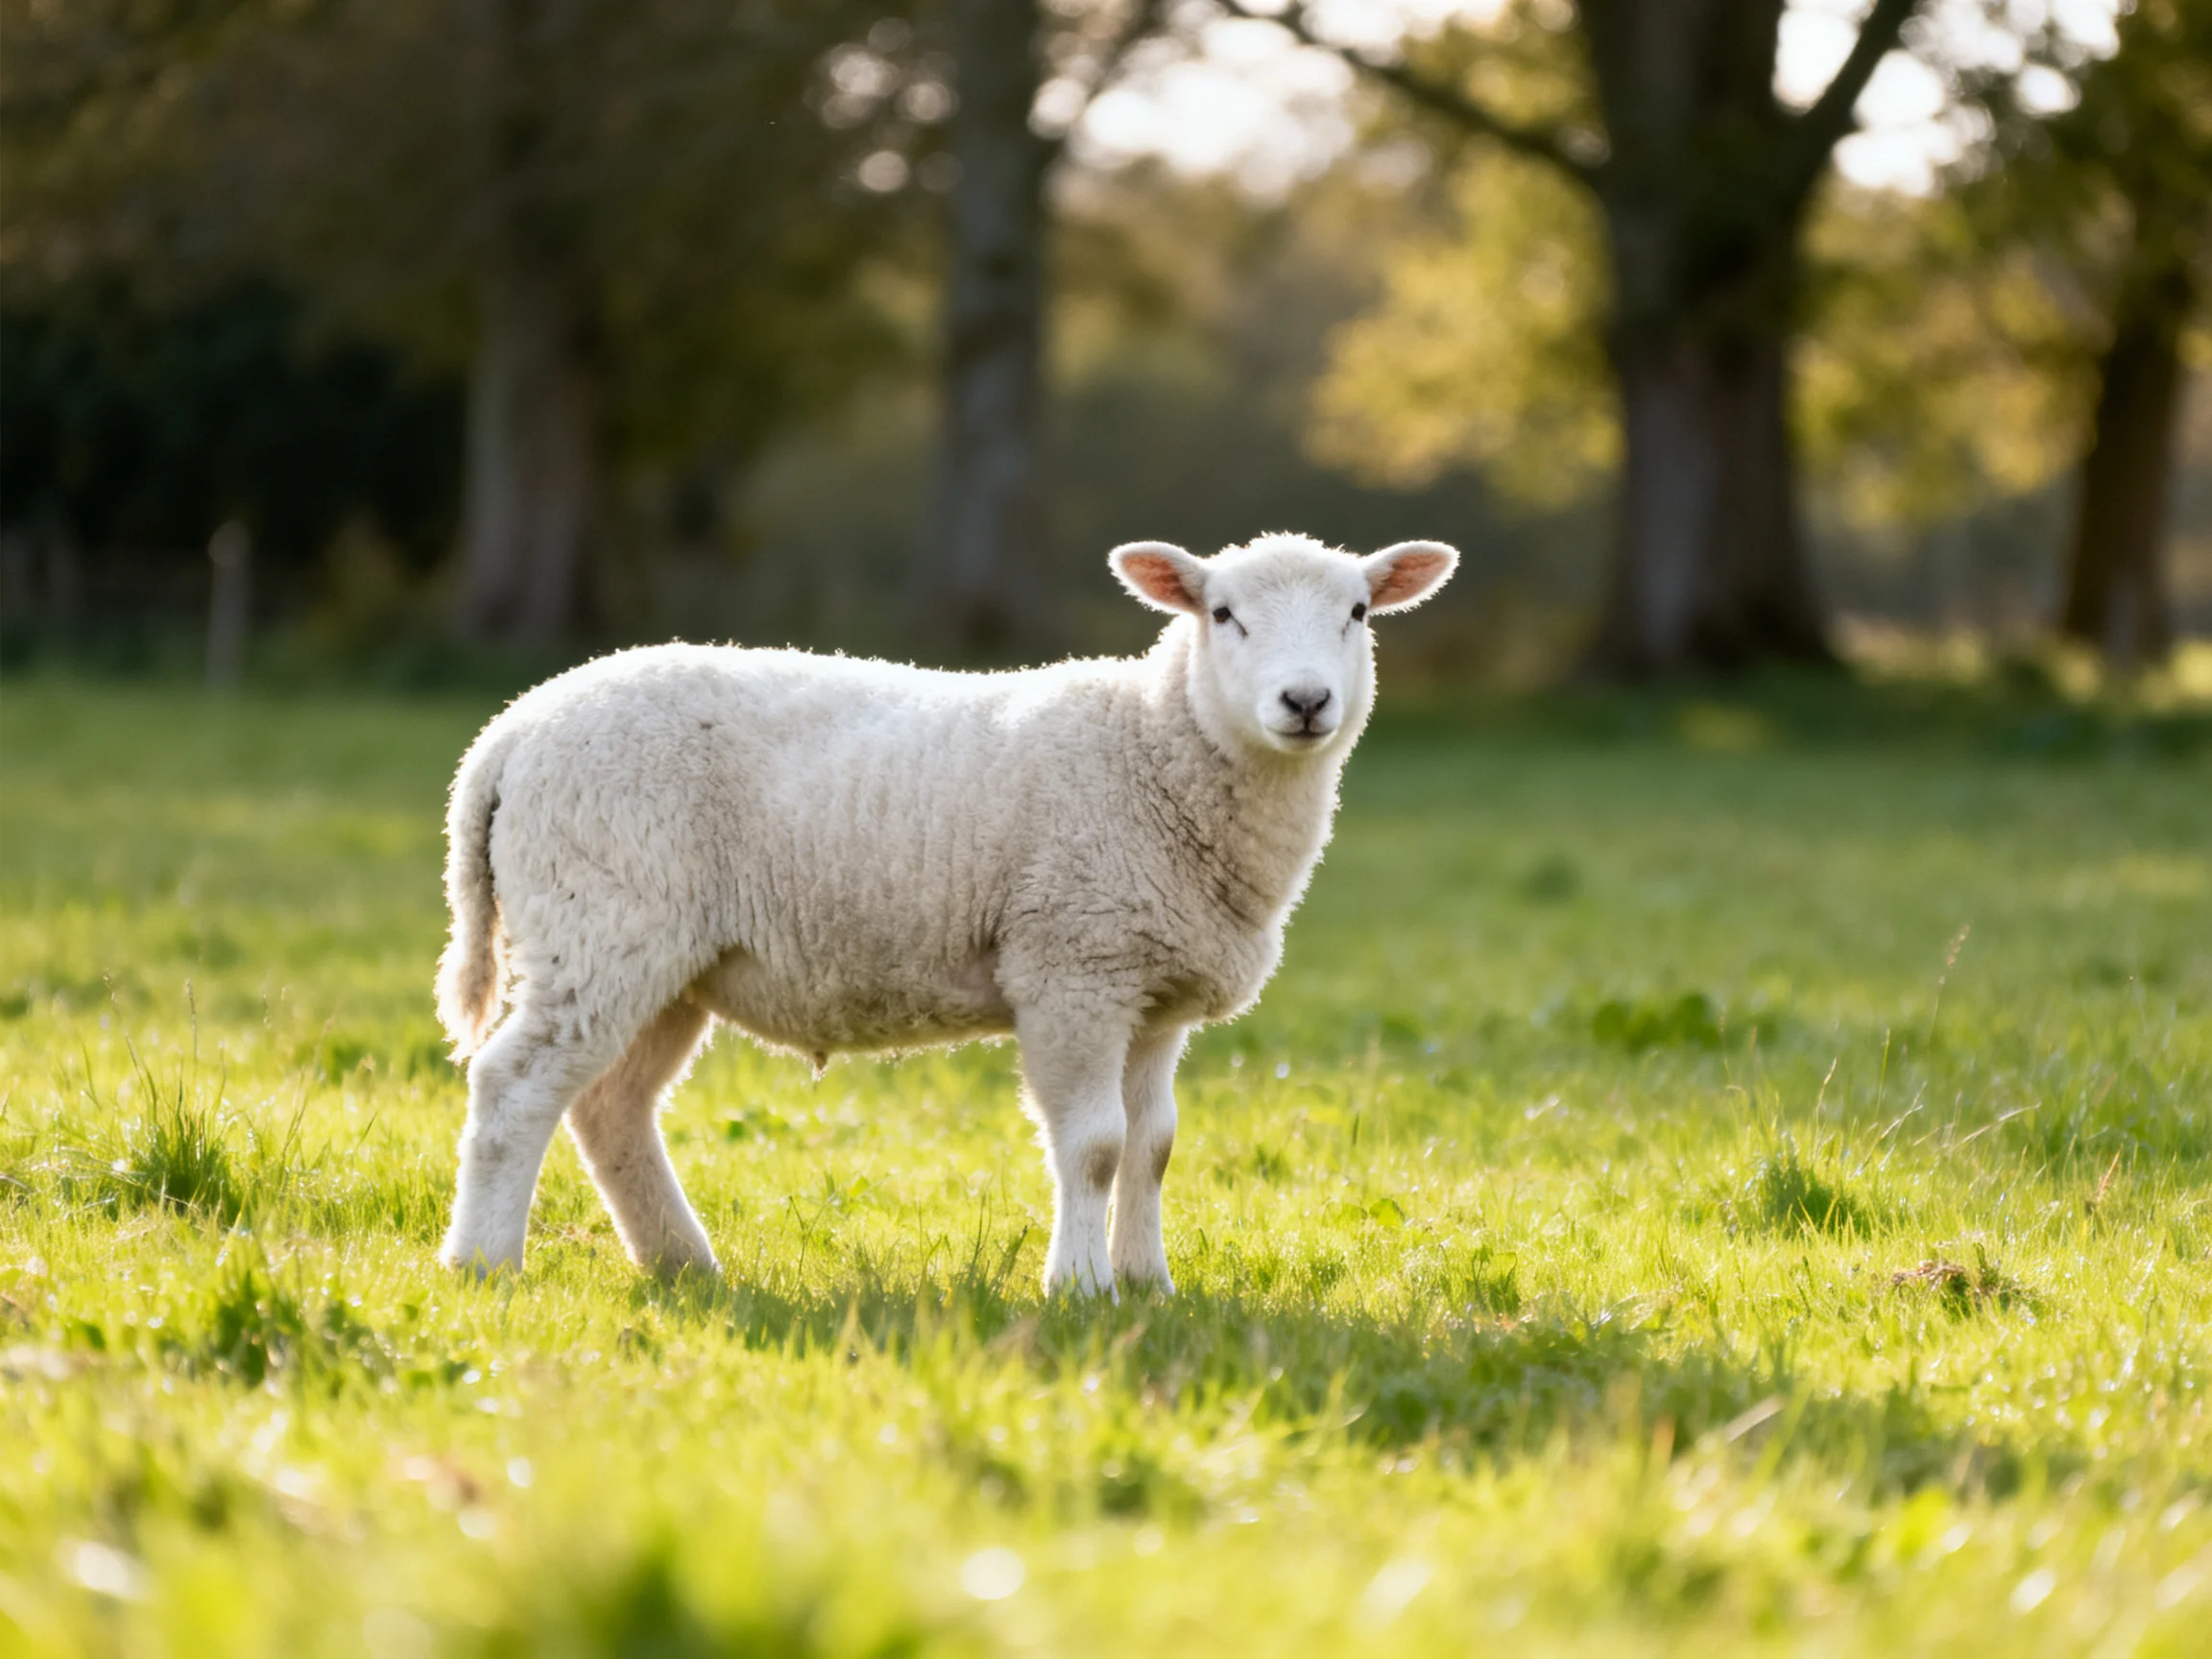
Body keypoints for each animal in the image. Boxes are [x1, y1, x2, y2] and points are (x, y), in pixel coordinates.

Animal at [434, 531, 1457, 1294]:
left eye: (1358, 614)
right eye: (1223, 615)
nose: (1306, 700)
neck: (1155, 747)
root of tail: (507, 735)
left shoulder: (1154, 989)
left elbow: (1154, 1147)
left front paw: (1148, 1285)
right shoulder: (1073, 967)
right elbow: (1094, 1147)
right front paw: (1080, 1290)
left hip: (664, 958)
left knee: (610, 1107)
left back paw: (683, 1264)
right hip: (601, 921)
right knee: (515, 1084)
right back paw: (483, 1264)